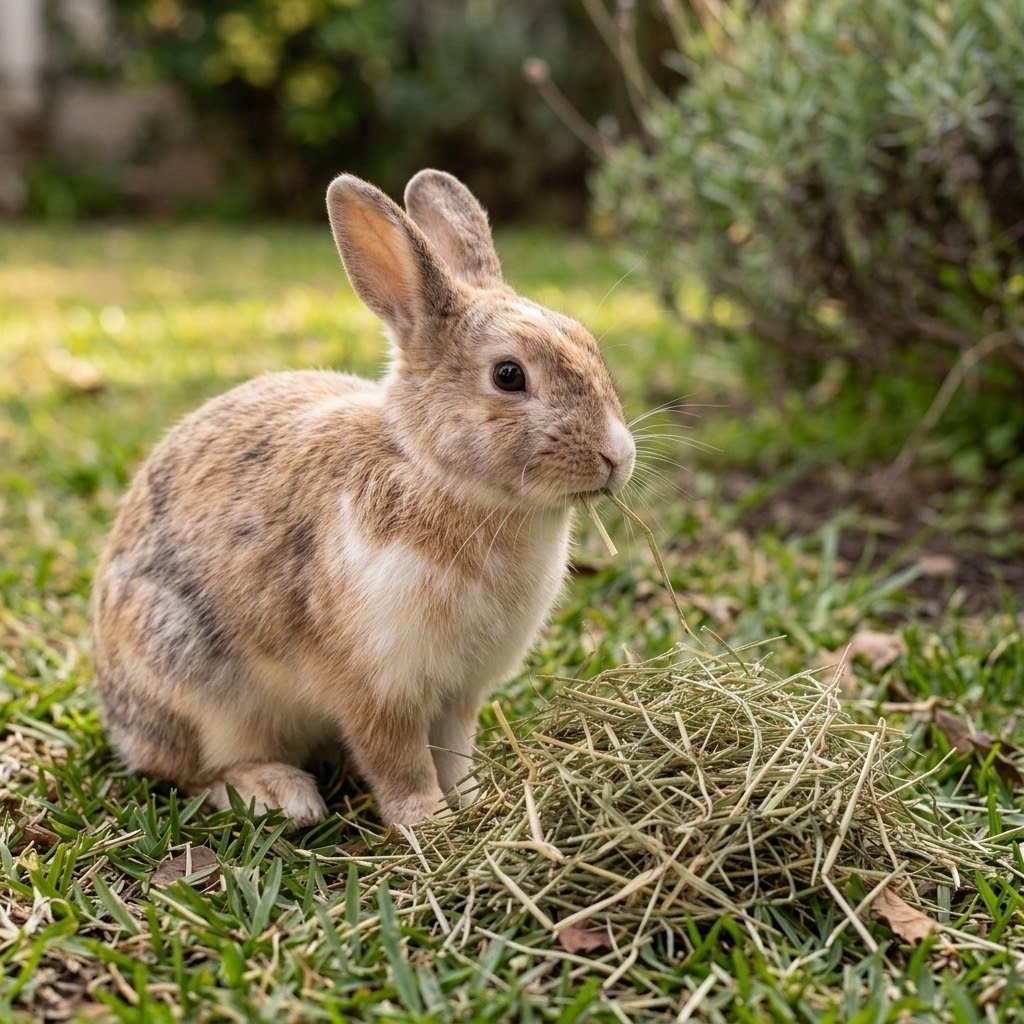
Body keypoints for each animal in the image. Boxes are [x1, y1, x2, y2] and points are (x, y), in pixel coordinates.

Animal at [91, 169, 636, 828]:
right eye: (509, 375)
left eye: (588, 343)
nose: (618, 456)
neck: (432, 472)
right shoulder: (377, 682)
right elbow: (397, 759)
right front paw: (428, 821)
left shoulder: (460, 691)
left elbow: (454, 750)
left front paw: (475, 799)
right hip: (194, 684)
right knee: (195, 770)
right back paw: (279, 794)